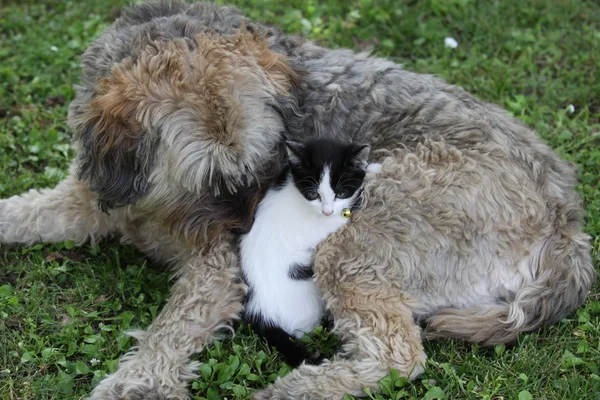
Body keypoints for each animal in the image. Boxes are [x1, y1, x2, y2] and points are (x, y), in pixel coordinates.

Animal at [239, 138, 380, 366]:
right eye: (314, 194)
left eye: (340, 193)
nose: (327, 210)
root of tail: (260, 312)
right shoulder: (311, 228)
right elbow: (344, 216)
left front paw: (373, 167)